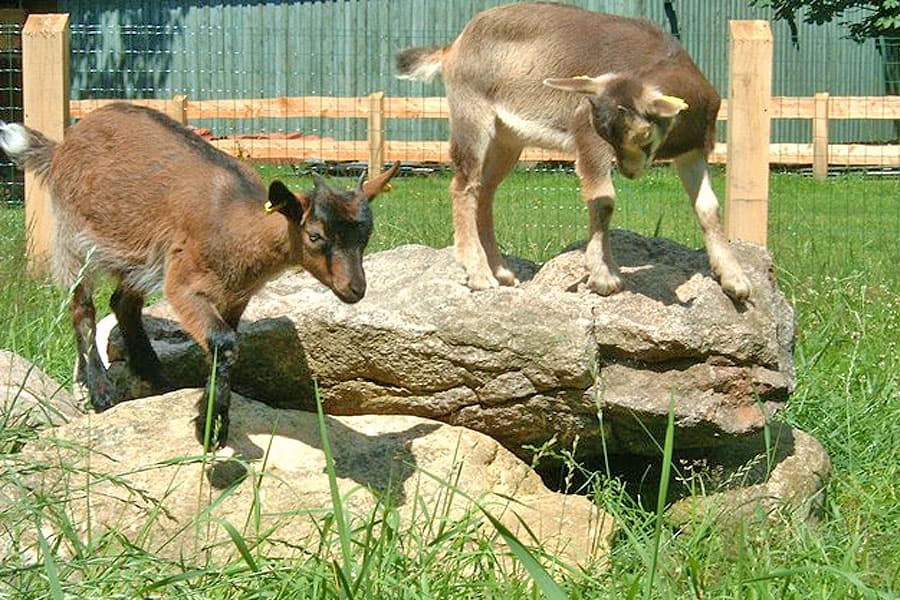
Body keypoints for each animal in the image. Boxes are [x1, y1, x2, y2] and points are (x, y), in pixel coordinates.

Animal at [0, 103, 400, 448]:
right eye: (315, 235)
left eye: (366, 235)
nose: (355, 288)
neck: (235, 221)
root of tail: (61, 146)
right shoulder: (184, 282)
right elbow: (223, 341)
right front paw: (210, 428)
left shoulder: (236, 297)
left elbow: (225, 346)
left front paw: (210, 416)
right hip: (73, 237)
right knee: (82, 307)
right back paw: (100, 389)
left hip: (139, 256)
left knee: (122, 303)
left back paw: (158, 379)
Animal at [400, 2, 752, 302]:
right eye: (602, 130)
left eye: (642, 133)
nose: (629, 171)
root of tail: (453, 47)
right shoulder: (587, 140)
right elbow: (603, 199)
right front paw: (604, 277)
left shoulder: (692, 152)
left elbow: (708, 207)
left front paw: (735, 281)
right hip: (471, 116)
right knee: (463, 185)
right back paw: (479, 275)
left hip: (507, 140)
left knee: (484, 191)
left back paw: (502, 272)